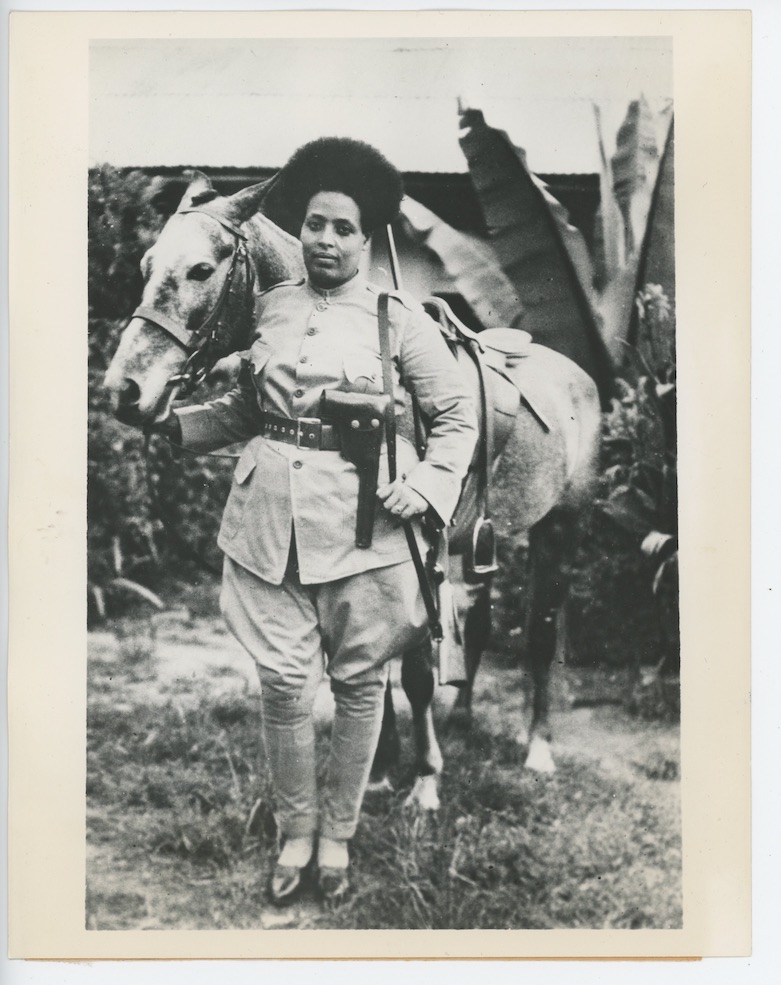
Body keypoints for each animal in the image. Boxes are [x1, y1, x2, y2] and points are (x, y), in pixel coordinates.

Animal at [103, 173, 600, 812]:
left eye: (201, 269)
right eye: (145, 265)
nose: (123, 390)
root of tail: (578, 377)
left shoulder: (419, 550)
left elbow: (415, 671)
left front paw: (424, 780)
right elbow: (374, 664)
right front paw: (380, 768)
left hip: (560, 526)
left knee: (538, 633)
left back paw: (538, 747)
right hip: (482, 540)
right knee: (482, 619)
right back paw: (464, 715)